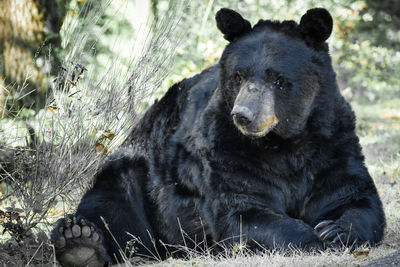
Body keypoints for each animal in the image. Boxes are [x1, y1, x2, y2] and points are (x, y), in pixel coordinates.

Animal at [50, 7, 384, 266]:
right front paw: (314, 236)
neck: (283, 143)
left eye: (278, 79)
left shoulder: (331, 143)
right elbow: (242, 213)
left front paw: (335, 230)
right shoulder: (227, 152)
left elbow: (354, 196)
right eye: (239, 75)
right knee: (110, 207)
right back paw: (79, 242)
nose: (244, 115)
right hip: (134, 171)